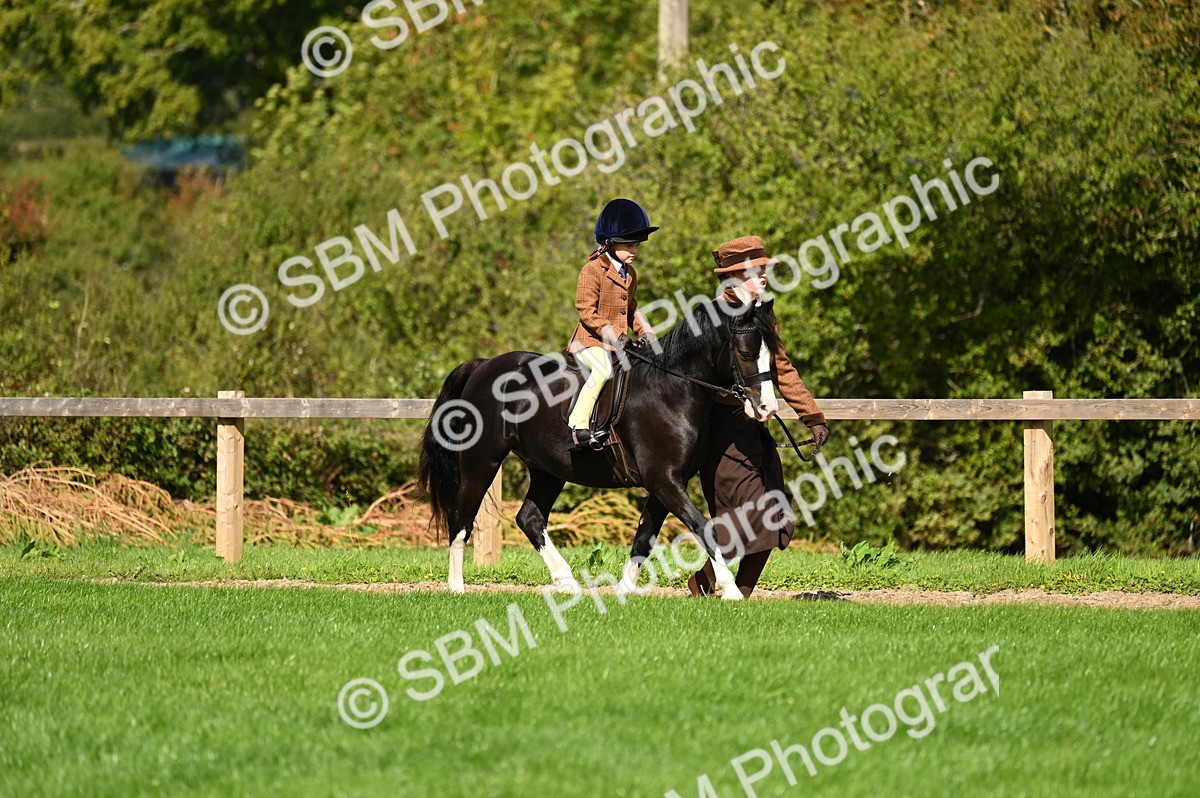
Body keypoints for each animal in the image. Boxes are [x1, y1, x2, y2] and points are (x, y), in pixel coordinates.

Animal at [417, 297, 781, 600]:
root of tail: (483, 365)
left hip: (547, 469)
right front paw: (730, 590)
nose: (767, 408)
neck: (672, 389)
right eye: (745, 354)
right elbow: (703, 528)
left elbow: (644, 536)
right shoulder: (664, 480)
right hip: (482, 462)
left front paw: (624, 590)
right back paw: (457, 587)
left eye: (771, 356)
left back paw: (567, 582)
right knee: (461, 518)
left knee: (530, 519)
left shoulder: (664, 484)